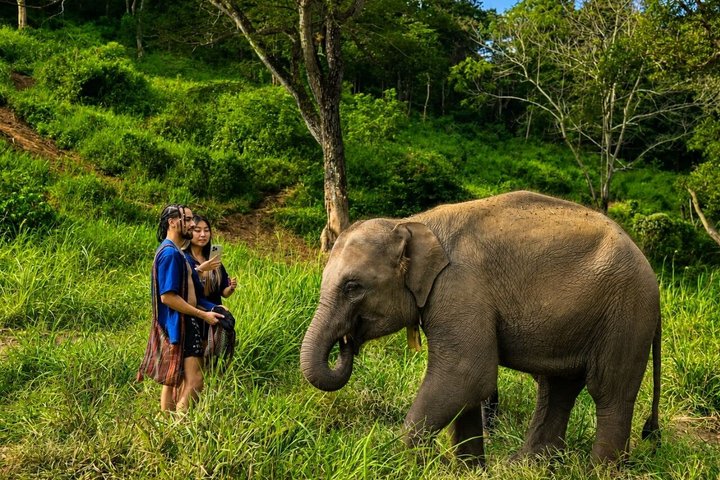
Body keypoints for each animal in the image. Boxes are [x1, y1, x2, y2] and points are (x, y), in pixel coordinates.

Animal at [300, 190, 661, 465]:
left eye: (353, 287)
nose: (347, 342)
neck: (413, 223)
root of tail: (651, 273)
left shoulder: (460, 289)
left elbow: (467, 374)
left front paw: (404, 463)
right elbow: (468, 387)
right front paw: (470, 469)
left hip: (626, 314)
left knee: (609, 393)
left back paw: (597, 470)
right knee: (557, 387)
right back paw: (526, 465)